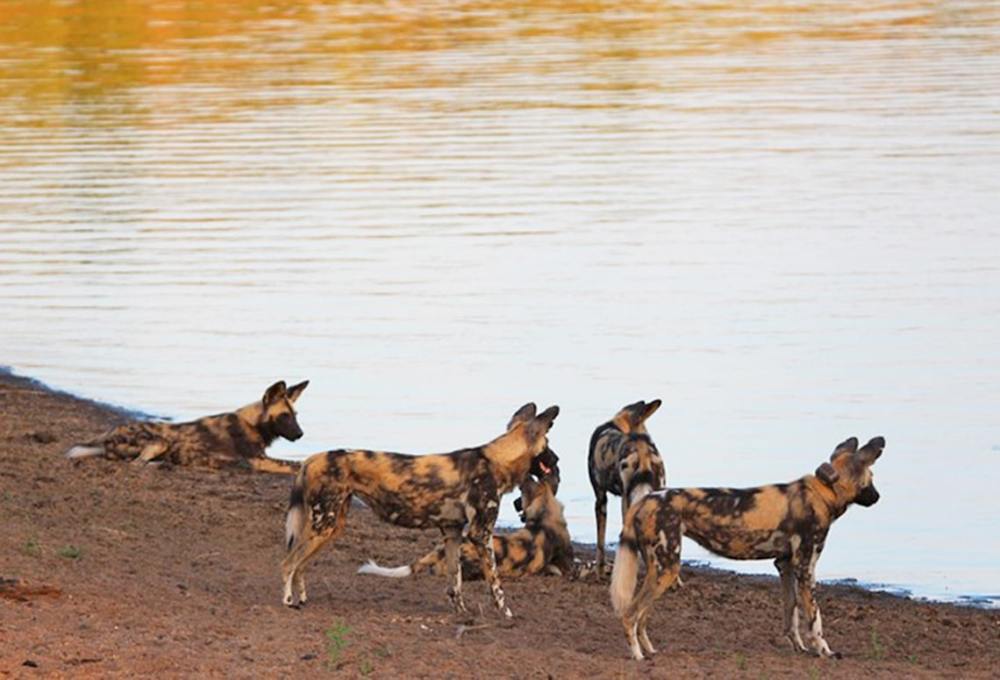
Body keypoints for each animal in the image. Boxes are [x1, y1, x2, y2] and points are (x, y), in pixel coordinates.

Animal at [65, 378, 306, 472]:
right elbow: (295, 465)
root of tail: (108, 434)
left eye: (295, 415)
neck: (252, 423)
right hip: (159, 441)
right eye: (284, 416)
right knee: (136, 464)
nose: (300, 434)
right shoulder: (258, 460)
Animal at [608, 436, 884, 660]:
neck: (823, 492)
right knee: (629, 614)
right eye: (871, 480)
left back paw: (650, 650)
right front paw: (825, 651)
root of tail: (645, 499)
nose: (878, 497)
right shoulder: (805, 568)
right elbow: (815, 619)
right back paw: (637, 655)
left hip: (659, 570)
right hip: (667, 569)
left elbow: (791, 614)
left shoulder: (785, 565)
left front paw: (799, 648)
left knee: (641, 617)